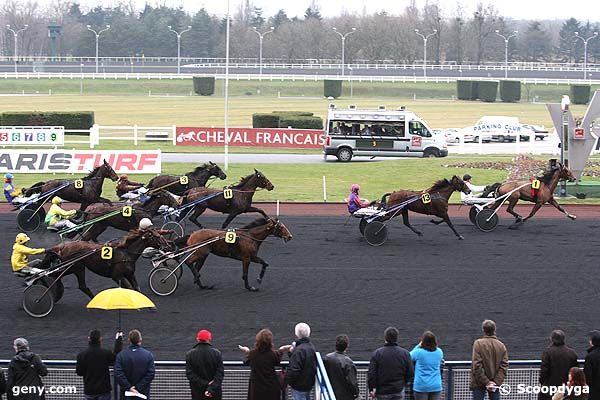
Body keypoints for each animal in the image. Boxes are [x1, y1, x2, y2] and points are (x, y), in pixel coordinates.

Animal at [40, 228, 173, 300]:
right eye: (157, 236)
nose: (168, 245)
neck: (126, 253)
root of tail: (62, 247)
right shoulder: (117, 276)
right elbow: (129, 288)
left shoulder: (130, 274)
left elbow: (136, 288)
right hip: (73, 267)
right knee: (54, 276)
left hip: (76, 267)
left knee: (80, 285)